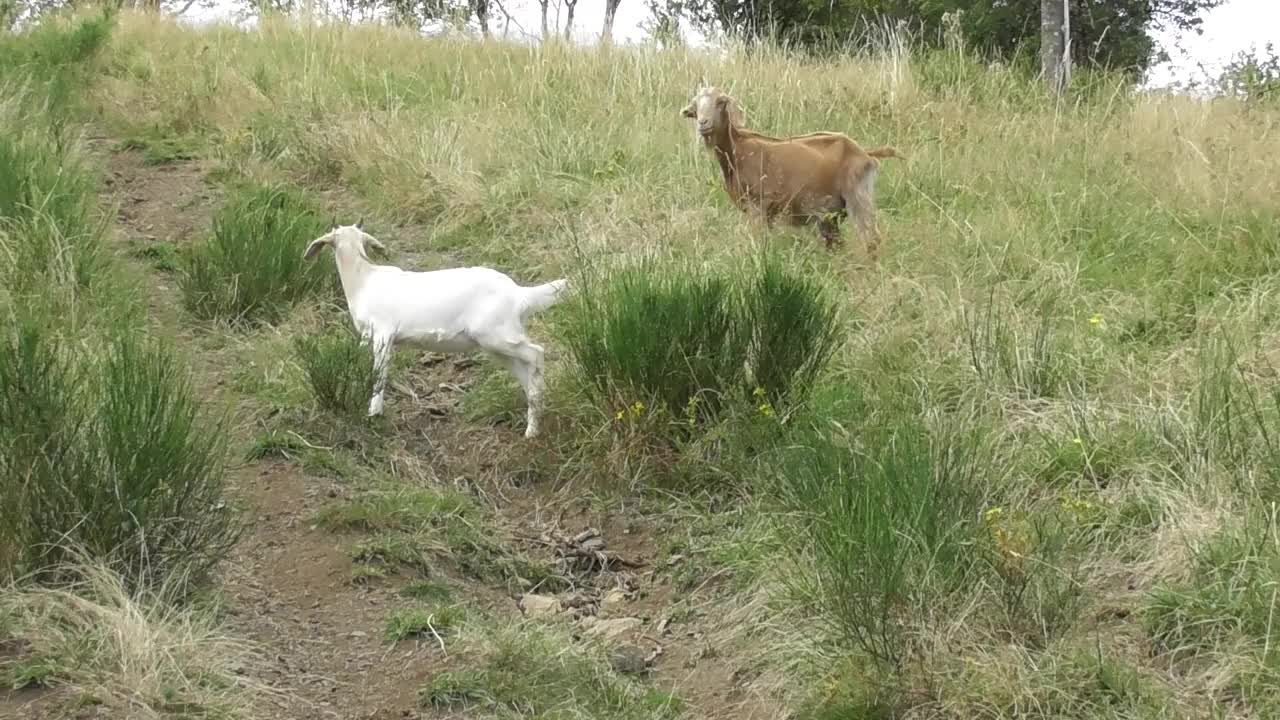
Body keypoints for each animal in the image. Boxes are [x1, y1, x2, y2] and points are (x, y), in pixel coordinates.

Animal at [302, 222, 568, 438]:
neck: (363, 281)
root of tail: (519, 295)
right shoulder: (368, 337)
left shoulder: (384, 333)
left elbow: (380, 371)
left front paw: (374, 412)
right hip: (498, 344)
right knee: (526, 369)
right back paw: (533, 423)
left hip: (498, 335)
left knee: (537, 352)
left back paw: (534, 417)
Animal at [680, 85, 901, 257]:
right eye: (695, 106)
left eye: (720, 101)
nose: (703, 123)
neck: (738, 149)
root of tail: (864, 153)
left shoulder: (758, 206)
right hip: (831, 214)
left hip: (858, 197)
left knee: (871, 239)